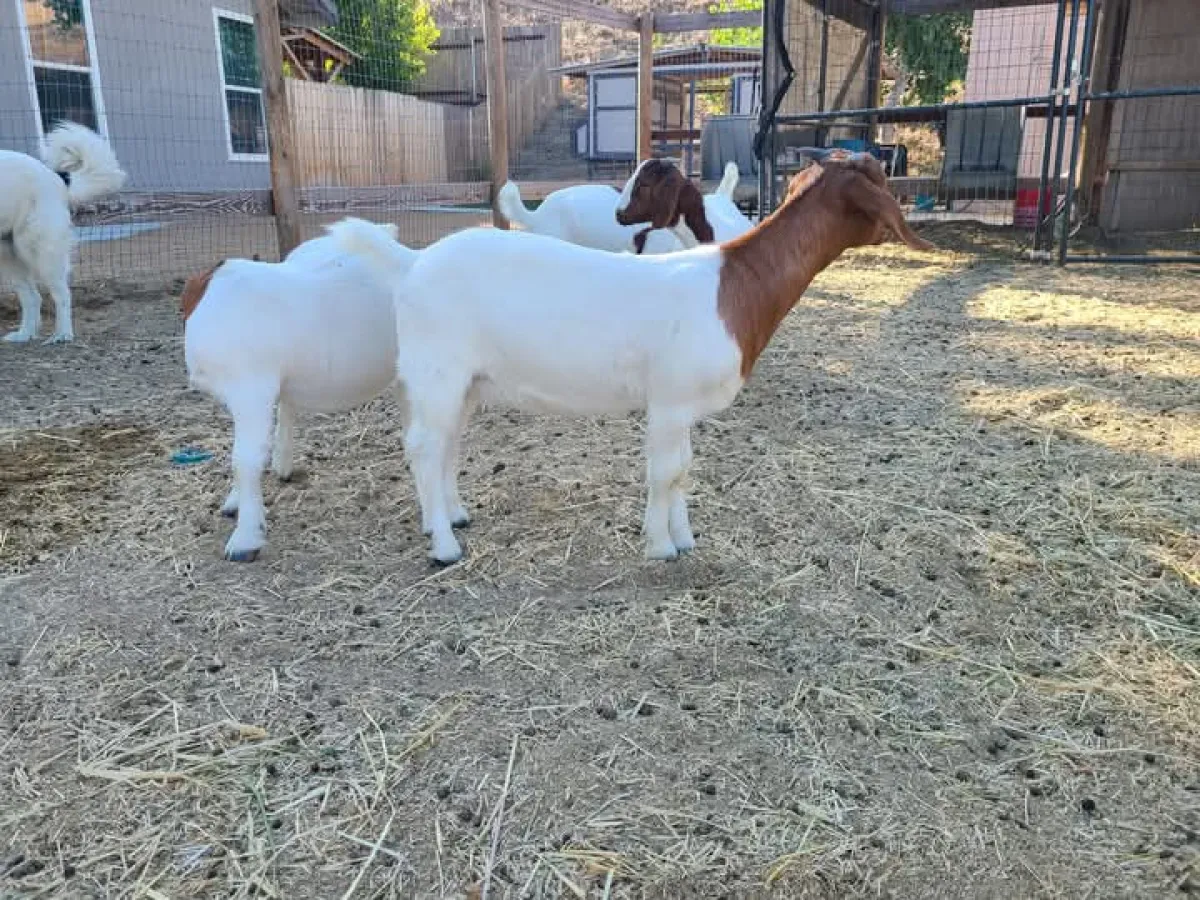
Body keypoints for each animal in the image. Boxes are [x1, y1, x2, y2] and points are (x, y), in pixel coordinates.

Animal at [0, 123, 126, 343]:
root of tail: (56, 177)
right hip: (10, 256)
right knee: (32, 297)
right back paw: (24, 334)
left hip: (42, 251)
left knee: (62, 295)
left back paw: (62, 334)